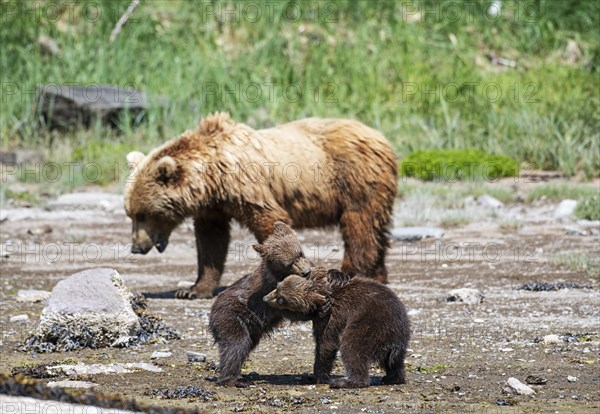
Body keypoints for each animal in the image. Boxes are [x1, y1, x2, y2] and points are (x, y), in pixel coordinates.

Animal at [125, 111, 398, 300]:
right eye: (131, 214)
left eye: (143, 214)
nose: (136, 247)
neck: (213, 177)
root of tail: (381, 138)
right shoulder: (213, 208)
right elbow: (210, 242)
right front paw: (194, 289)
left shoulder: (248, 188)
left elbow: (269, 222)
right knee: (377, 228)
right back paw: (378, 275)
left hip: (355, 180)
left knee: (360, 226)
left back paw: (350, 272)